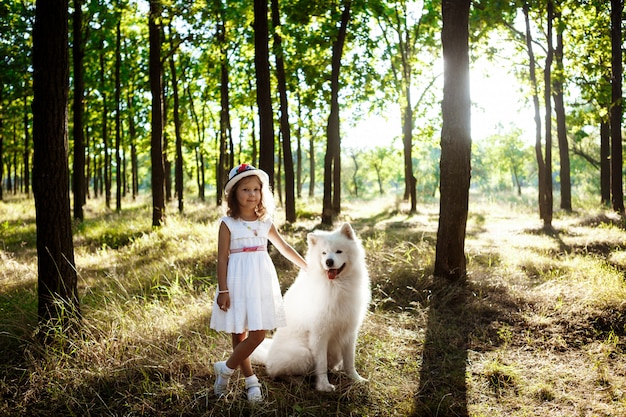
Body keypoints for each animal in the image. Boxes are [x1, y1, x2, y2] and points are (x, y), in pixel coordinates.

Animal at [252, 221, 370, 390]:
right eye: (324, 253)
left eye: (339, 251)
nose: (329, 262)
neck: (337, 285)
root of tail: (268, 357)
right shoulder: (319, 334)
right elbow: (321, 364)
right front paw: (324, 386)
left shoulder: (349, 332)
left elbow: (350, 361)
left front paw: (356, 379)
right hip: (303, 353)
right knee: (276, 372)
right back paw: (297, 381)